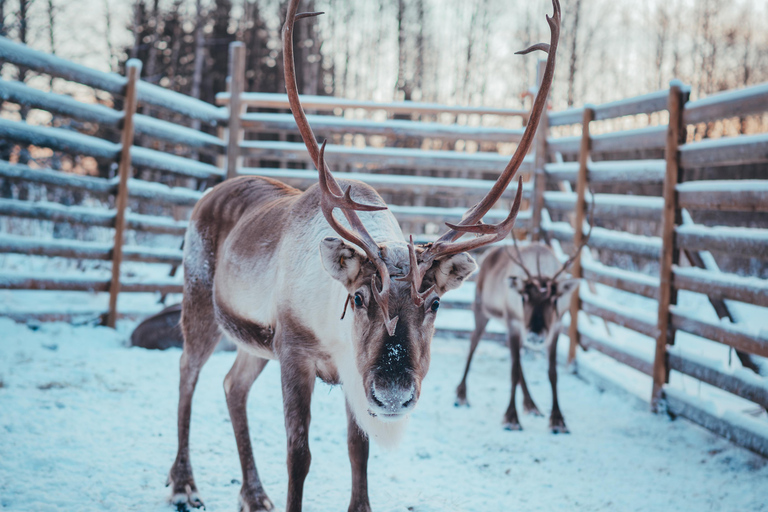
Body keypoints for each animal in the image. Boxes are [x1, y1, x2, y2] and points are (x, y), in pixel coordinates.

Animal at [166, 0, 560, 510]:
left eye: (435, 303)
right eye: (357, 297)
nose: (394, 392)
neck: (337, 339)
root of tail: (210, 192)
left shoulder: (353, 376)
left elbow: (359, 450)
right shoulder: (294, 353)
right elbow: (299, 454)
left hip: (255, 343)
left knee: (233, 386)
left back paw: (254, 494)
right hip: (199, 301)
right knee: (187, 375)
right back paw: (183, 483)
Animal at [455, 216, 592, 434]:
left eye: (554, 300)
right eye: (524, 297)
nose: (535, 335)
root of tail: (486, 255)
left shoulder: (556, 327)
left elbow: (552, 373)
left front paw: (558, 420)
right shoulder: (514, 322)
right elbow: (513, 370)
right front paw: (511, 418)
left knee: (517, 361)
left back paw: (531, 404)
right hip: (481, 310)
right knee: (473, 343)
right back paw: (461, 394)